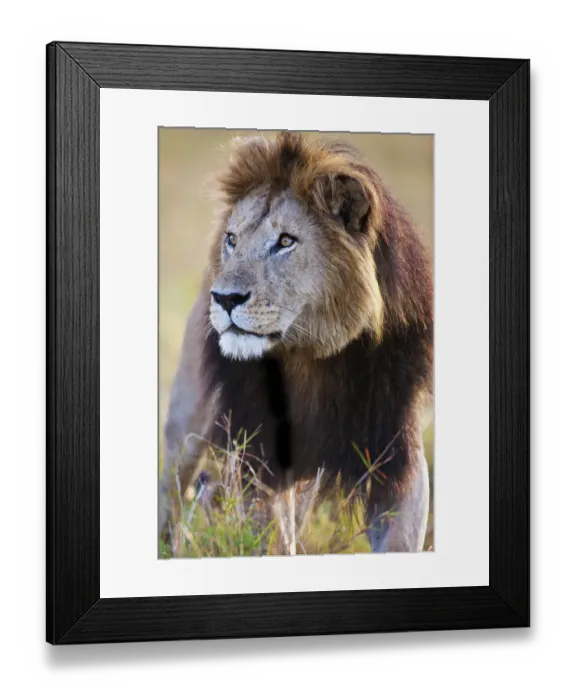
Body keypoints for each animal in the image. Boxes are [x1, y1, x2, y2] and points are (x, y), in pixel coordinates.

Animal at [160, 131, 433, 556]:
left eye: (286, 241)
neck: (316, 355)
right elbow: (270, 536)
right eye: (232, 240)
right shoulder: (260, 451)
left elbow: (398, 538)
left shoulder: (397, 450)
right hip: (188, 420)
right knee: (172, 489)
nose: (224, 298)